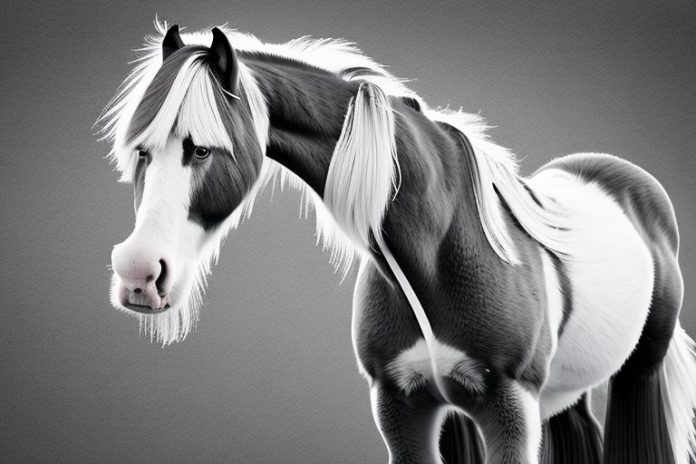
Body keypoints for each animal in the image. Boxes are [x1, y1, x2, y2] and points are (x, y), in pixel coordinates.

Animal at [99, 22, 696, 464]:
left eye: (201, 149)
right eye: (142, 151)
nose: (138, 274)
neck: (439, 253)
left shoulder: (509, 407)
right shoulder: (403, 405)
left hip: (639, 373)